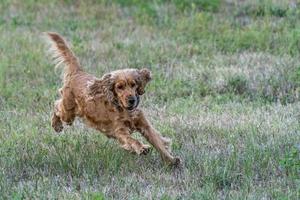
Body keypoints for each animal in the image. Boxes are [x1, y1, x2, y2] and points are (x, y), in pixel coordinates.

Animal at [45, 32, 179, 165]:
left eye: (133, 84)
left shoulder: (145, 125)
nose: (132, 100)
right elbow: (132, 140)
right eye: (119, 87)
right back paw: (56, 125)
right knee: (56, 105)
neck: (125, 110)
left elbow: (158, 142)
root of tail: (78, 72)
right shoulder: (120, 130)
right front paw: (142, 148)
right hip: (68, 113)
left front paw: (171, 160)